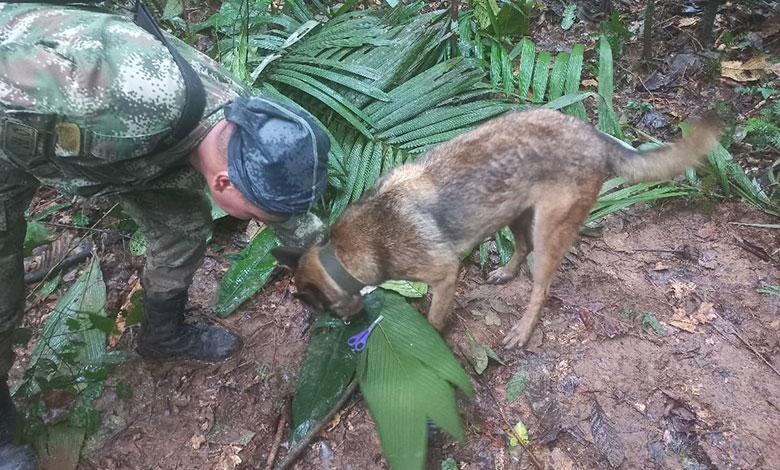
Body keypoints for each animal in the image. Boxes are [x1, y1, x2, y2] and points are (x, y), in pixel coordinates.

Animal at [272, 108, 720, 346]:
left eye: (320, 309)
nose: (349, 327)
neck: (344, 253)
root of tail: (593, 134)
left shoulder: (445, 275)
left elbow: (434, 318)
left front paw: (431, 340)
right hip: (516, 213)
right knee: (520, 249)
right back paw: (505, 273)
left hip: (548, 230)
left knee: (541, 286)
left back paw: (522, 329)